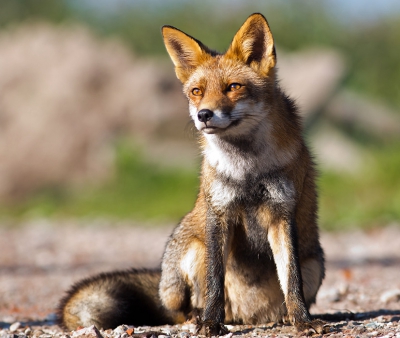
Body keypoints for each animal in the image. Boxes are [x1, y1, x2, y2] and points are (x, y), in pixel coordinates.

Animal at [58, 12, 324, 336]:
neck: (247, 170)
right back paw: (199, 317)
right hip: (192, 252)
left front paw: (302, 321)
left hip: (314, 265)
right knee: (183, 308)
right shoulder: (219, 215)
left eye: (233, 87)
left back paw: (282, 317)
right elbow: (214, 283)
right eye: (197, 92)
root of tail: (249, 317)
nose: (204, 115)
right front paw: (210, 322)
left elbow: (291, 280)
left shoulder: (282, 214)